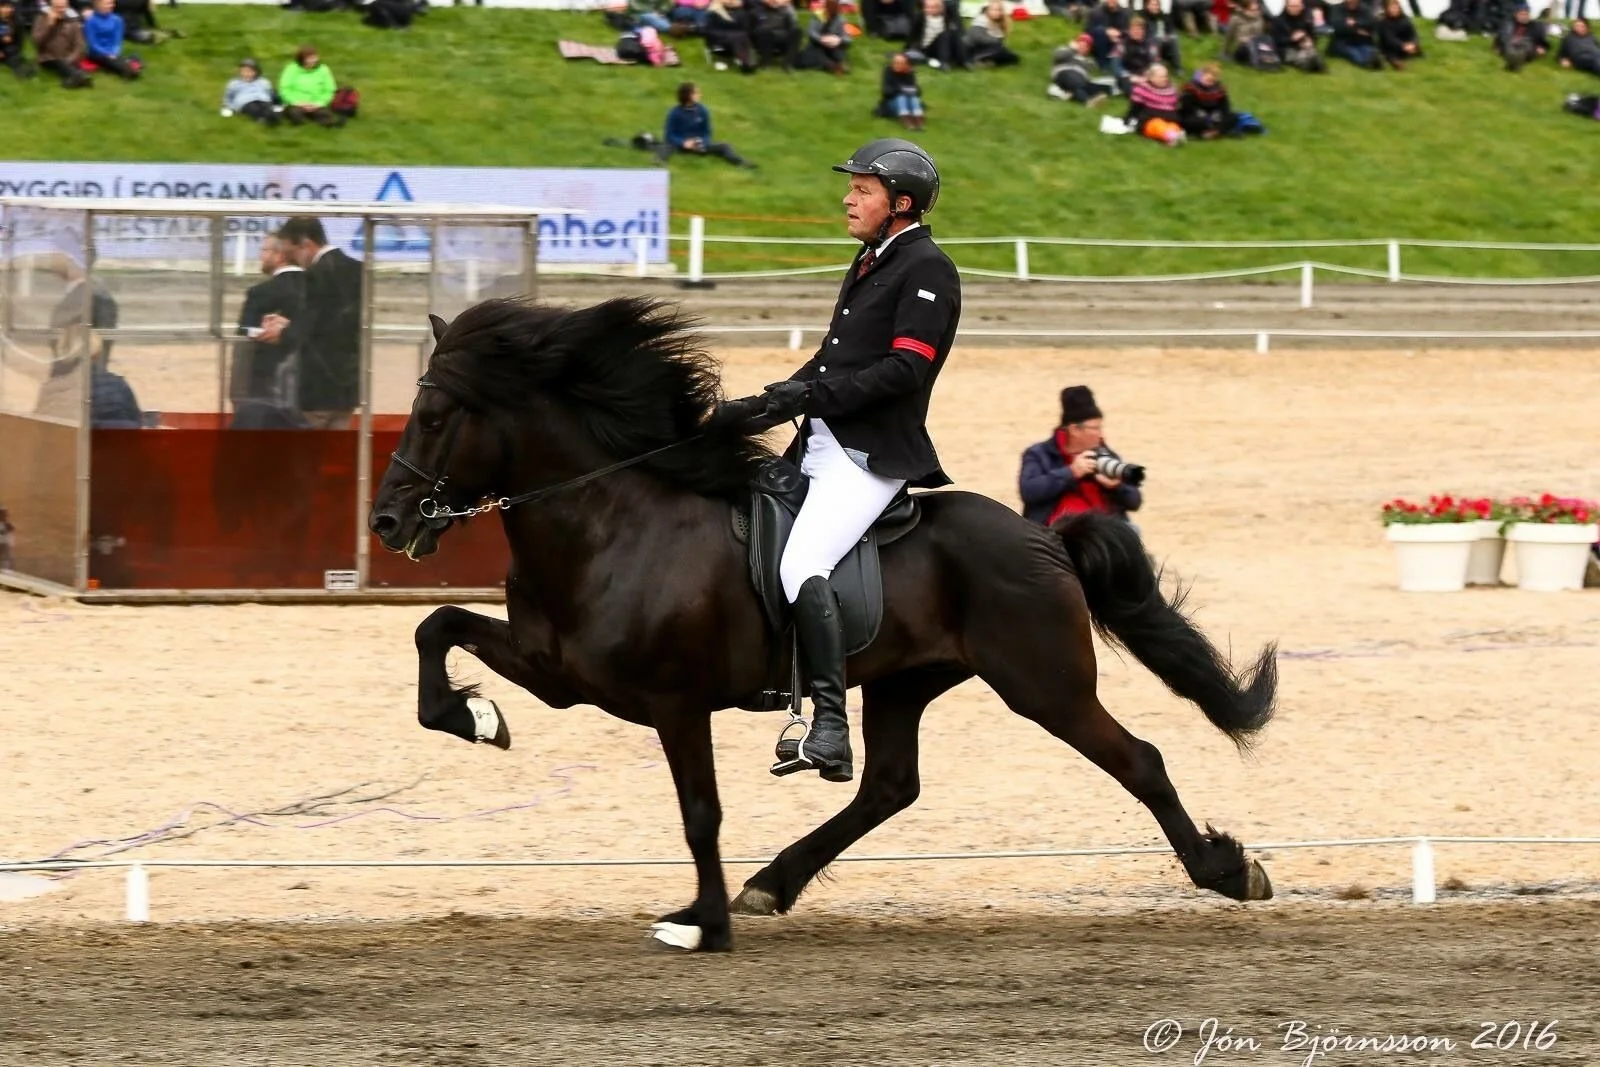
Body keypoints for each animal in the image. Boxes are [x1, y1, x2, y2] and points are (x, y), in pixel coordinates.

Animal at [367, 295, 1279, 953]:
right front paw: (475, 717)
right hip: (906, 681)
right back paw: (773, 881)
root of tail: (1044, 536)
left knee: (1138, 758)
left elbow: (700, 809)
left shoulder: (674, 700)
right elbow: (434, 629)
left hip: (1042, 683)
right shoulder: (557, 670)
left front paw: (701, 924)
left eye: (437, 414)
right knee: (890, 785)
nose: (386, 520)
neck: (609, 522)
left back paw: (1227, 870)